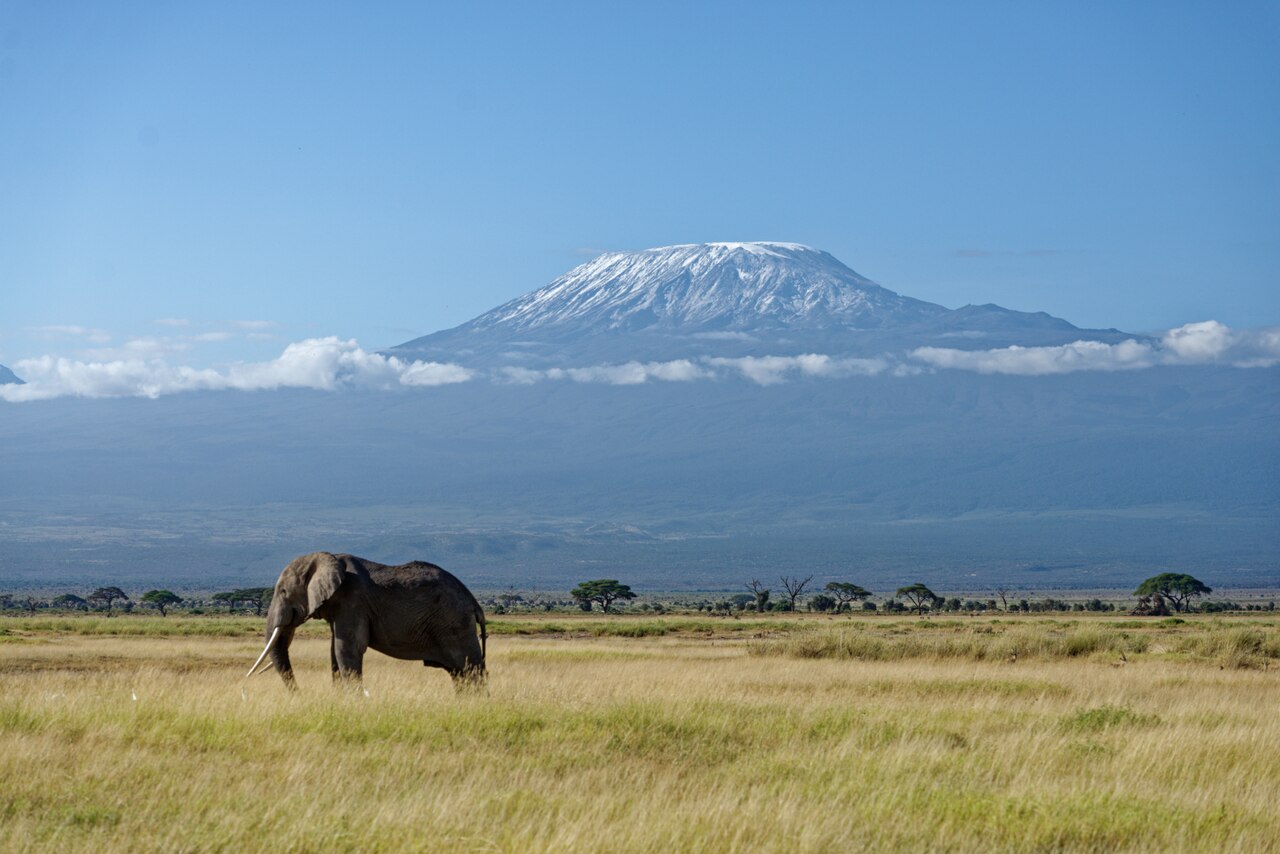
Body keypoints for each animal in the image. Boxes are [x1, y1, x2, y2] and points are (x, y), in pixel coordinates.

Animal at [246, 552, 486, 690]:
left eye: (283, 591)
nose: (300, 693)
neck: (328, 556)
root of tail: (474, 602)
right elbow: (334, 652)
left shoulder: (353, 601)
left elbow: (346, 650)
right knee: (460, 674)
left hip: (455, 623)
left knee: (471, 669)